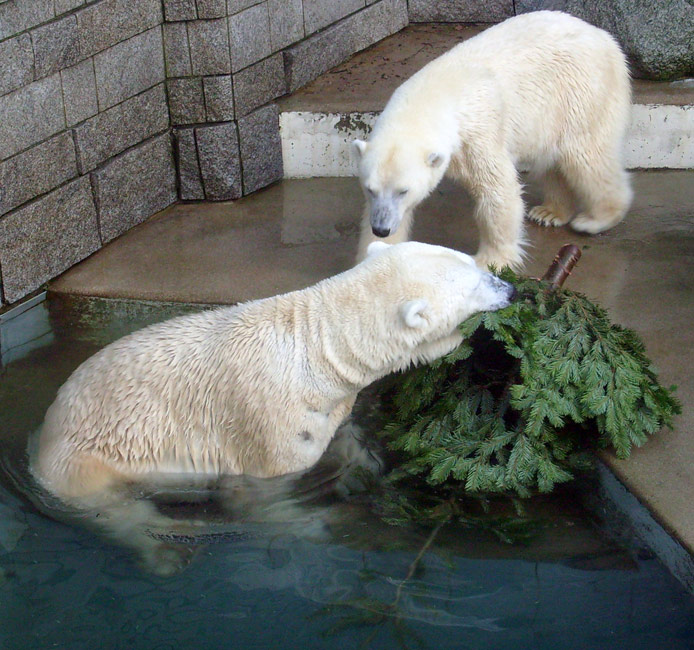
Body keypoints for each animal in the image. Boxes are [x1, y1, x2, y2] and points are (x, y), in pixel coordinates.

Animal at [356, 10, 632, 268]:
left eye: (403, 191)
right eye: (369, 189)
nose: (381, 228)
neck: (431, 97)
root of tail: (604, 37)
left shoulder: (479, 132)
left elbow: (497, 189)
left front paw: (490, 260)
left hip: (581, 91)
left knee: (585, 156)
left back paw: (596, 219)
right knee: (553, 160)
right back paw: (549, 212)